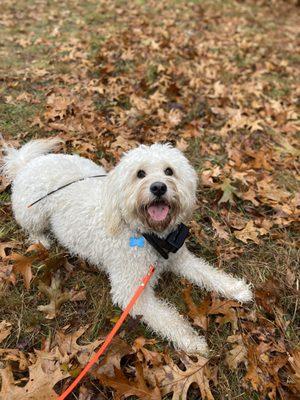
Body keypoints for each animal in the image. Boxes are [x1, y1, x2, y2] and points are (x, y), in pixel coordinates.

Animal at [2, 139, 252, 354]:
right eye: (140, 174)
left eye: (169, 171)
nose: (158, 187)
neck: (150, 235)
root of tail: (26, 164)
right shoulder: (131, 290)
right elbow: (167, 318)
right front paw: (191, 340)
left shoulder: (180, 258)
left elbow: (207, 273)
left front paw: (236, 289)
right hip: (33, 213)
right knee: (32, 228)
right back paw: (41, 240)